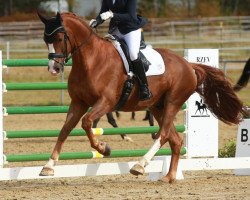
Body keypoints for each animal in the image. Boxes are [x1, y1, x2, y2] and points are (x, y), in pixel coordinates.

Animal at [38, 11, 245, 182]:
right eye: (45, 39)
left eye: (59, 37)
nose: (53, 68)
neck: (92, 61)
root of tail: (188, 64)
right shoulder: (78, 103)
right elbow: (65, 130)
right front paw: (48, 166)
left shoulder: (106, 102)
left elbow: (87, 122)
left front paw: (104, 148)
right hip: (157, 106)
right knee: (175, 140)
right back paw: (168, 177)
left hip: (173, 102)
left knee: (163, 135)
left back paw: (140, 165)